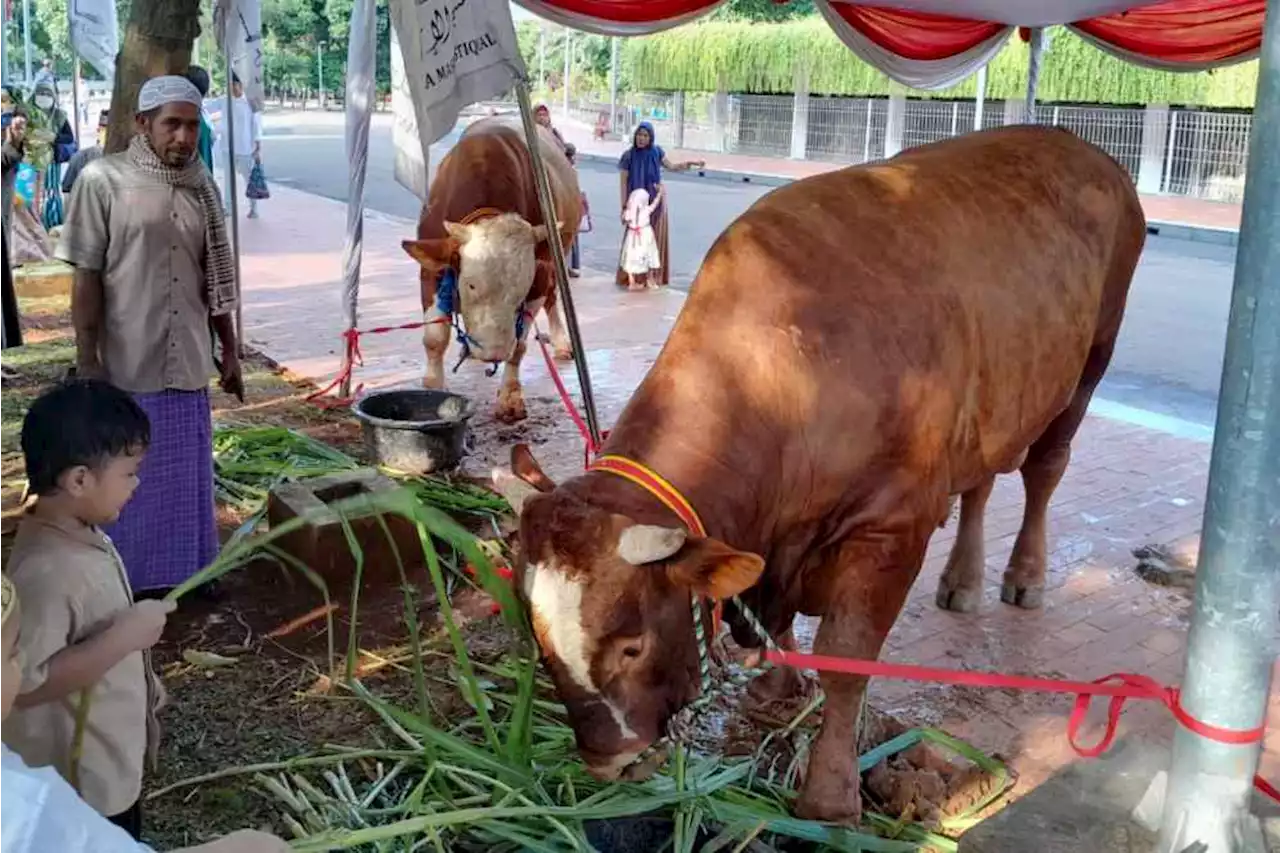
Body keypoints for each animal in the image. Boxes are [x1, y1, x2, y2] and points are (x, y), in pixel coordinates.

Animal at [401, 116, 583, 422]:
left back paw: (560, 342)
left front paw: (510, 398)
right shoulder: (433, 268)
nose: (493, 352)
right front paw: (433, 387)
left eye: (520, 290)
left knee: (553, 298)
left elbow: (519, 345)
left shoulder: (540, 275)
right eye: (471, 284)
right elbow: (435, 338)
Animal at [486, 126, 1141, 824]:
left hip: (1093, 358)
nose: (610, 761)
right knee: (982, 481)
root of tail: (1074, 143)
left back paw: (1024, 576)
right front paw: (775, 687)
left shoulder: (891, 526)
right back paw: (962, 580)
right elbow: (769, 626)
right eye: (539, 637)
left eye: (632, 644)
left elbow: (846, 662)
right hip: (993, 401)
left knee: (1044, 469)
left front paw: (830, 794)